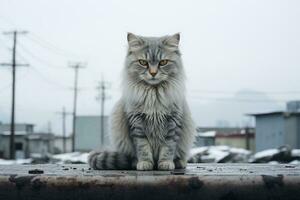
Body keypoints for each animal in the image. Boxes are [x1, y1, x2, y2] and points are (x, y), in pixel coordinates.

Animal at [88, 32, 195, 170]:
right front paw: (145, 163)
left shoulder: (173, 123)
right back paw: (136, 163)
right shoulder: (137, 124)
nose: (153, 73)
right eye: (143, 62)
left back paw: (179, 162)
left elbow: (168, 148)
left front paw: (165, 163)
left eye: (163, 62)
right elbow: (143, 148)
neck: (154, 95)